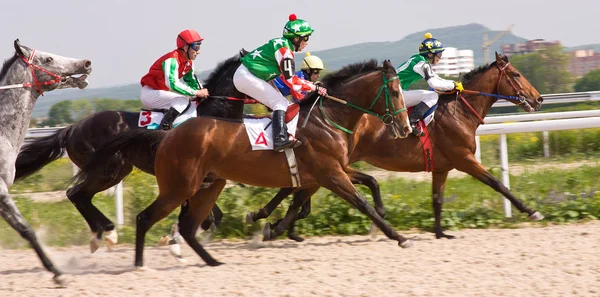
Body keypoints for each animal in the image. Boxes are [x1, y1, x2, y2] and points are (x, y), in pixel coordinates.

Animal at [15, 52, 247, 250]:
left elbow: (212, 217)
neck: (212, 118)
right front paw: (174, 239)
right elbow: (206, 217)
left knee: (81, 196)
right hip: (109, 170)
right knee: (76, 193)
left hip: (114, 170)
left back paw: (103, 234)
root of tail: (72, 127)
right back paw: (107, 233)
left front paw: (176, 239)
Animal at [75, 59, 412, 266]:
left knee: (185, 224)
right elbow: (360, 203)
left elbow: (370, 183)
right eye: (396, 91)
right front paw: (398, 237)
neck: (326, 119)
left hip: (205, 184)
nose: (406, 128)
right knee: (136, 214)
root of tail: (166, 136)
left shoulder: (329, 172)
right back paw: (133, 256)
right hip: (168, 184)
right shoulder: (329, 173)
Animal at [246, 51, 548, 240]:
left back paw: (274, 221)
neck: (459, 111)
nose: (539, 99)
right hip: (332, 164)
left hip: (335, 164)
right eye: (516, 74)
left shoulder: (442, 167)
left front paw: (440, 232)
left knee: (297, 189)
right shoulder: (463, 158)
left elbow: (437, 199)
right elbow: (497, 184)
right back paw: (276, 223)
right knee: (296, 190)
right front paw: (532, 211)